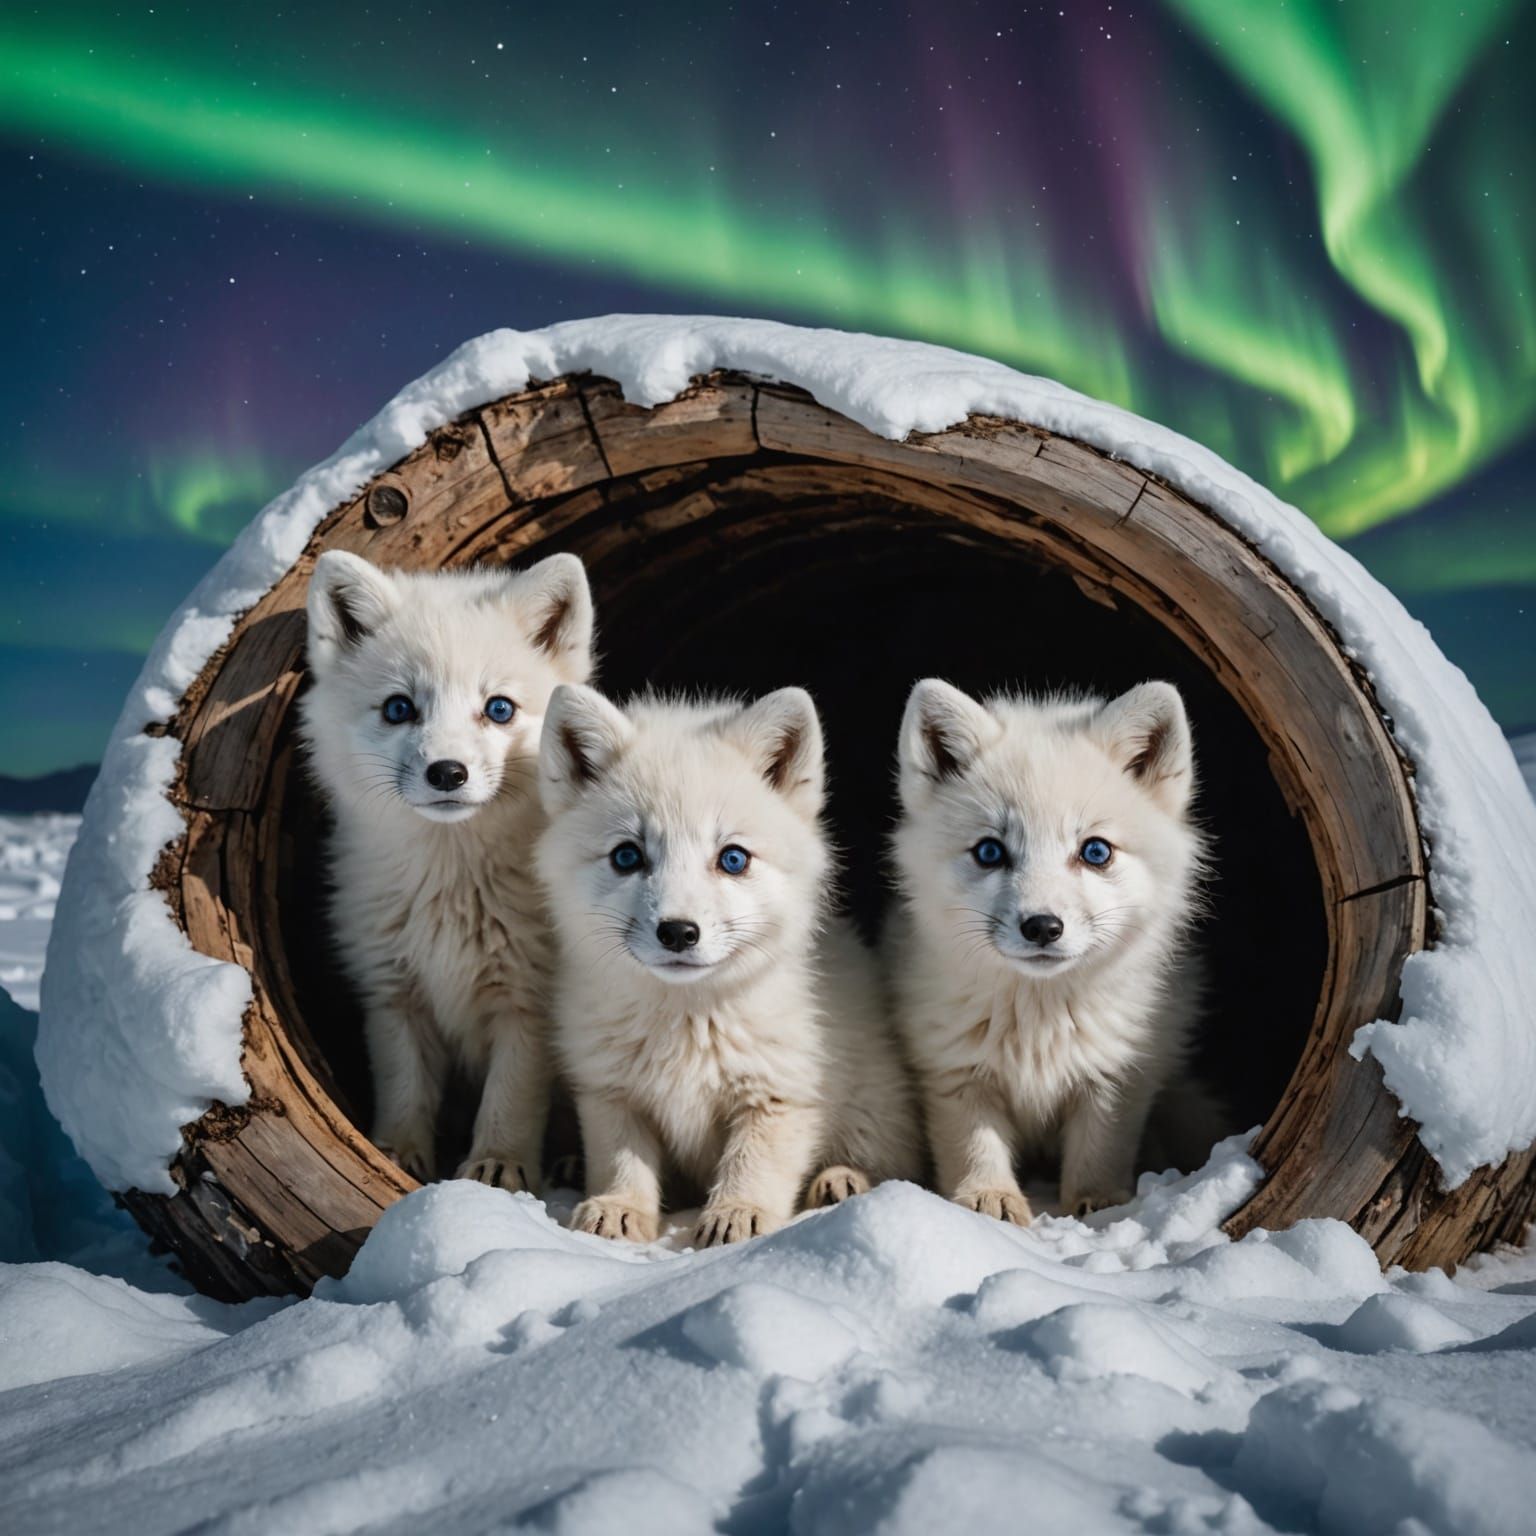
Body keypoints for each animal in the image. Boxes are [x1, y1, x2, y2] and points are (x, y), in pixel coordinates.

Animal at [299, 549, 595, 1192]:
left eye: (499, 709)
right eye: (399, 708)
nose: (447, 772)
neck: (452, 893)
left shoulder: (528, 1003)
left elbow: (511, 1102)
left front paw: (497, 1170)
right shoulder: (393, 995)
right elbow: (404, 1092)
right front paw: (394, 1156)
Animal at [536, 684, 919, 1246]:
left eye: (733, 859)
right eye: (627, 856)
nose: (678, 932)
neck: (689, 1021)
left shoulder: (779, 1095)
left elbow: (751, 1165)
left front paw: (738, 1214)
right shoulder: (611, 1091)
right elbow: (621, 1160)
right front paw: (619, 1208)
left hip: (875, 1107)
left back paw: (841, 1180)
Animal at [889, 678, 1211, 1225]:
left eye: (1096, 851)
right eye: (990, 851)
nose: (1042, 927)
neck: (1039, 1021)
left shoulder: (1117, 1076)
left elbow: (1099, 1152)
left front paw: (1097, 1205)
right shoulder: (954, 1071)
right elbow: (974, 1147)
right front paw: (988, 1200)